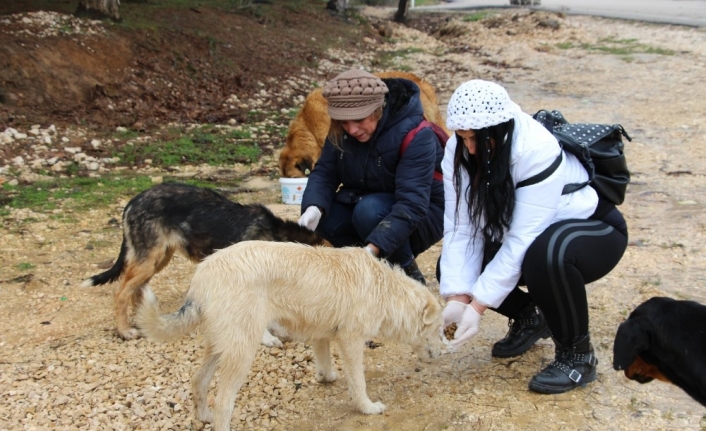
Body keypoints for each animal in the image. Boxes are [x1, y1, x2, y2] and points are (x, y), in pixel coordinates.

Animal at [80, 182, 330, 340]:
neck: (277, 239)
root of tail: (133, 201)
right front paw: (267, 338)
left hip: (159, 259)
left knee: (136, 289)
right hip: (148, 259)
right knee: (121, 293)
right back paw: (125, 331)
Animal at [137, 241, 442, 430]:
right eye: (439, 330)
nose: (442, 354)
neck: (385, 290)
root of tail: (202, 274)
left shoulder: (322, 334)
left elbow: (325, 362)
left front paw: (326, 377)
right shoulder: (351, 341)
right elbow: (359, 383)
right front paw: (366, 407)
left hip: (221, 346)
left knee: (198, 380)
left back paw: (203, 416)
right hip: (242, 351)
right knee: (223, 402)